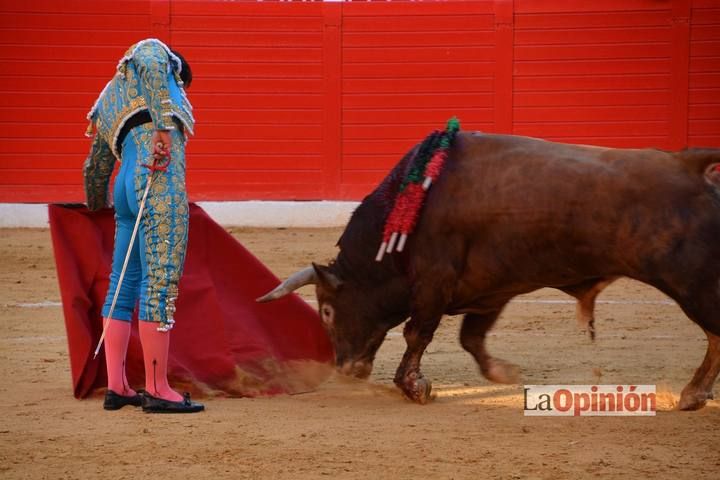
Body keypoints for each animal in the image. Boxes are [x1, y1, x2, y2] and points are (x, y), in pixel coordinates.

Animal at [258, 133, 720, 410]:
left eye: (327, 311)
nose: (347, 368)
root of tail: (690, 165)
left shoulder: (434, 283)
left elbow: (417, 333)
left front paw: (414, 387)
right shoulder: (491, 289)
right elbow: (471, 338)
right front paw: (504, 373)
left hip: (692, 283)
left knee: (715, 331)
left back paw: (693, 394)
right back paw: (695, 394)